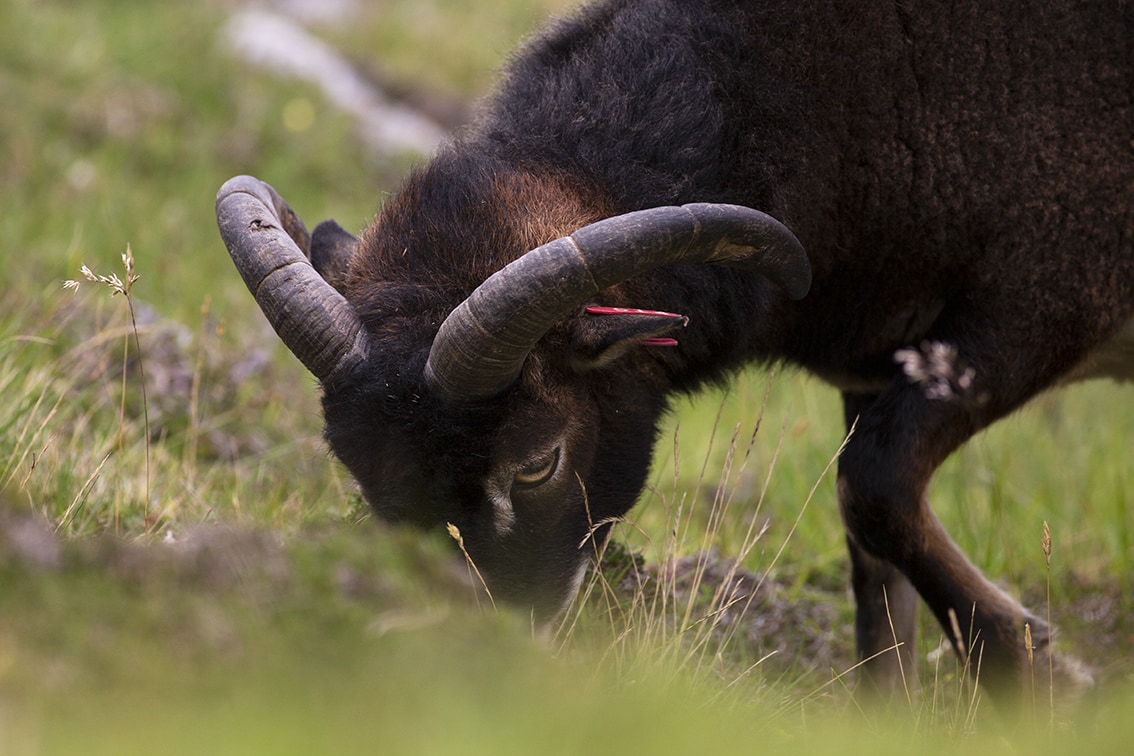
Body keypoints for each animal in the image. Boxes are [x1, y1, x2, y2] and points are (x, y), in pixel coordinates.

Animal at [214, 0, 1134, 711]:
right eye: (364, 476)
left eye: (538, 462)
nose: (485, 660)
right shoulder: (874, 366)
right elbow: (879, 583)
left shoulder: (1040, 304)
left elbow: (870, 482)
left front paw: (1033, 672)